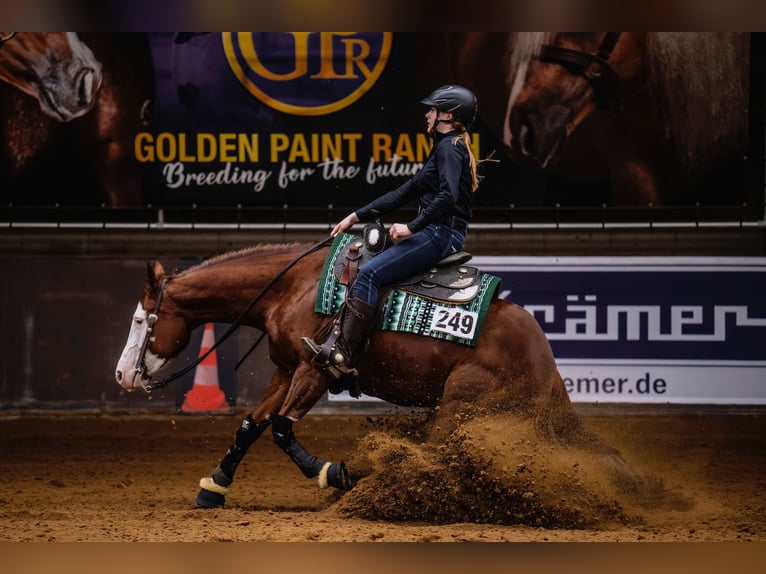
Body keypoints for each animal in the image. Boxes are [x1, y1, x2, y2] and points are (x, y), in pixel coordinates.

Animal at [114, 238, 641, 512]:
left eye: (140, 320)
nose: (121, 375)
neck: (292, 288)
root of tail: (544, 357)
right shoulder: (284, 371)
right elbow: (251, 425)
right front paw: (214, 486)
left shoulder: (316, 370)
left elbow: (282, 429)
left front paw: (333, 472)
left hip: (464, 404)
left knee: (441, 454)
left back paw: (376, 485)